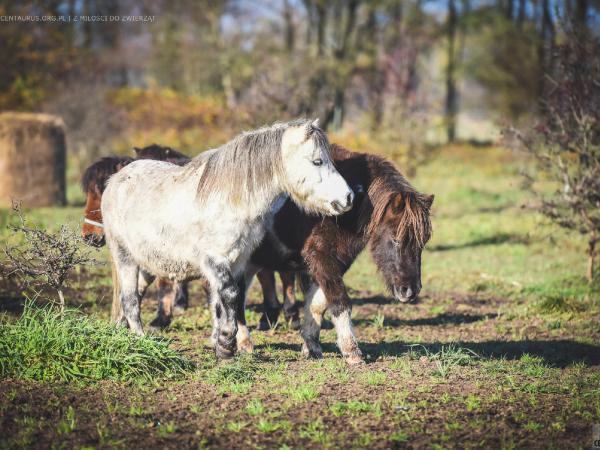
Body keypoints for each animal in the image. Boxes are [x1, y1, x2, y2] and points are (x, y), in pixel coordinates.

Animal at [101, 120, 354, 358]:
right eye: (317, 161)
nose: (348, 197)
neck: (229, 200)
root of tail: (116, 179)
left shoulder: (239, 261)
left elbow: (225, 302)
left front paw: (225, 344)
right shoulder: (214, 260)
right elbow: (231, 295)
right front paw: (225, 344)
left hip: (148, 262)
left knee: (131, 296)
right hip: (124, 256)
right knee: (130, 300)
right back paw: (140, 341)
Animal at [246, 144, 434, 362]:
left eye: (423, 243)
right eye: (396, 238)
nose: (410, 291)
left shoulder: (337, 261)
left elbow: (317, 304)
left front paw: (311, 347)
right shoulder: (321, 257)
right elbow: (340, 301)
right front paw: (352, 351)